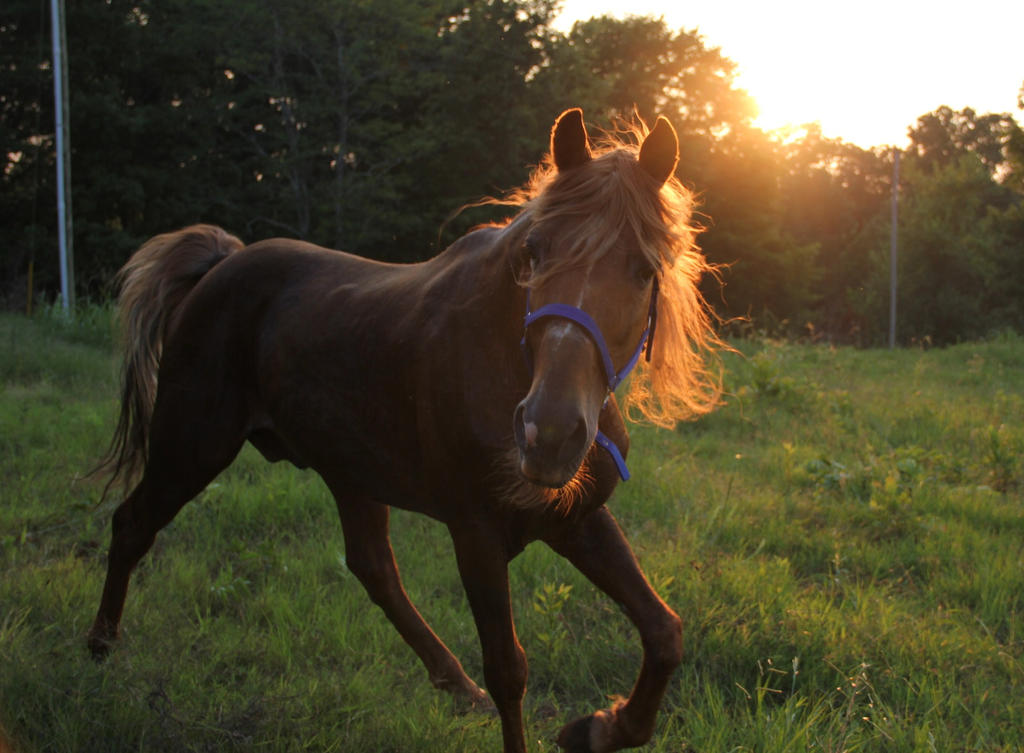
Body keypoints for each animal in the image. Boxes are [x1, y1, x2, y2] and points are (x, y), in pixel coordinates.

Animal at [92, 107, 724, 753]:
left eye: (644, 269)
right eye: (535, 252)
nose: (546, 434)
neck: (500, 354)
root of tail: (221, 264)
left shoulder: (574, 518)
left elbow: (664, 632)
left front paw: (597, 727)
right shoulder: (475, 532)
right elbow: (509, 670)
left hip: (347, 470)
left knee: (374, 570)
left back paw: (456, 685)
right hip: (191, 447)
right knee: (132, 524)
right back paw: (100, 653)